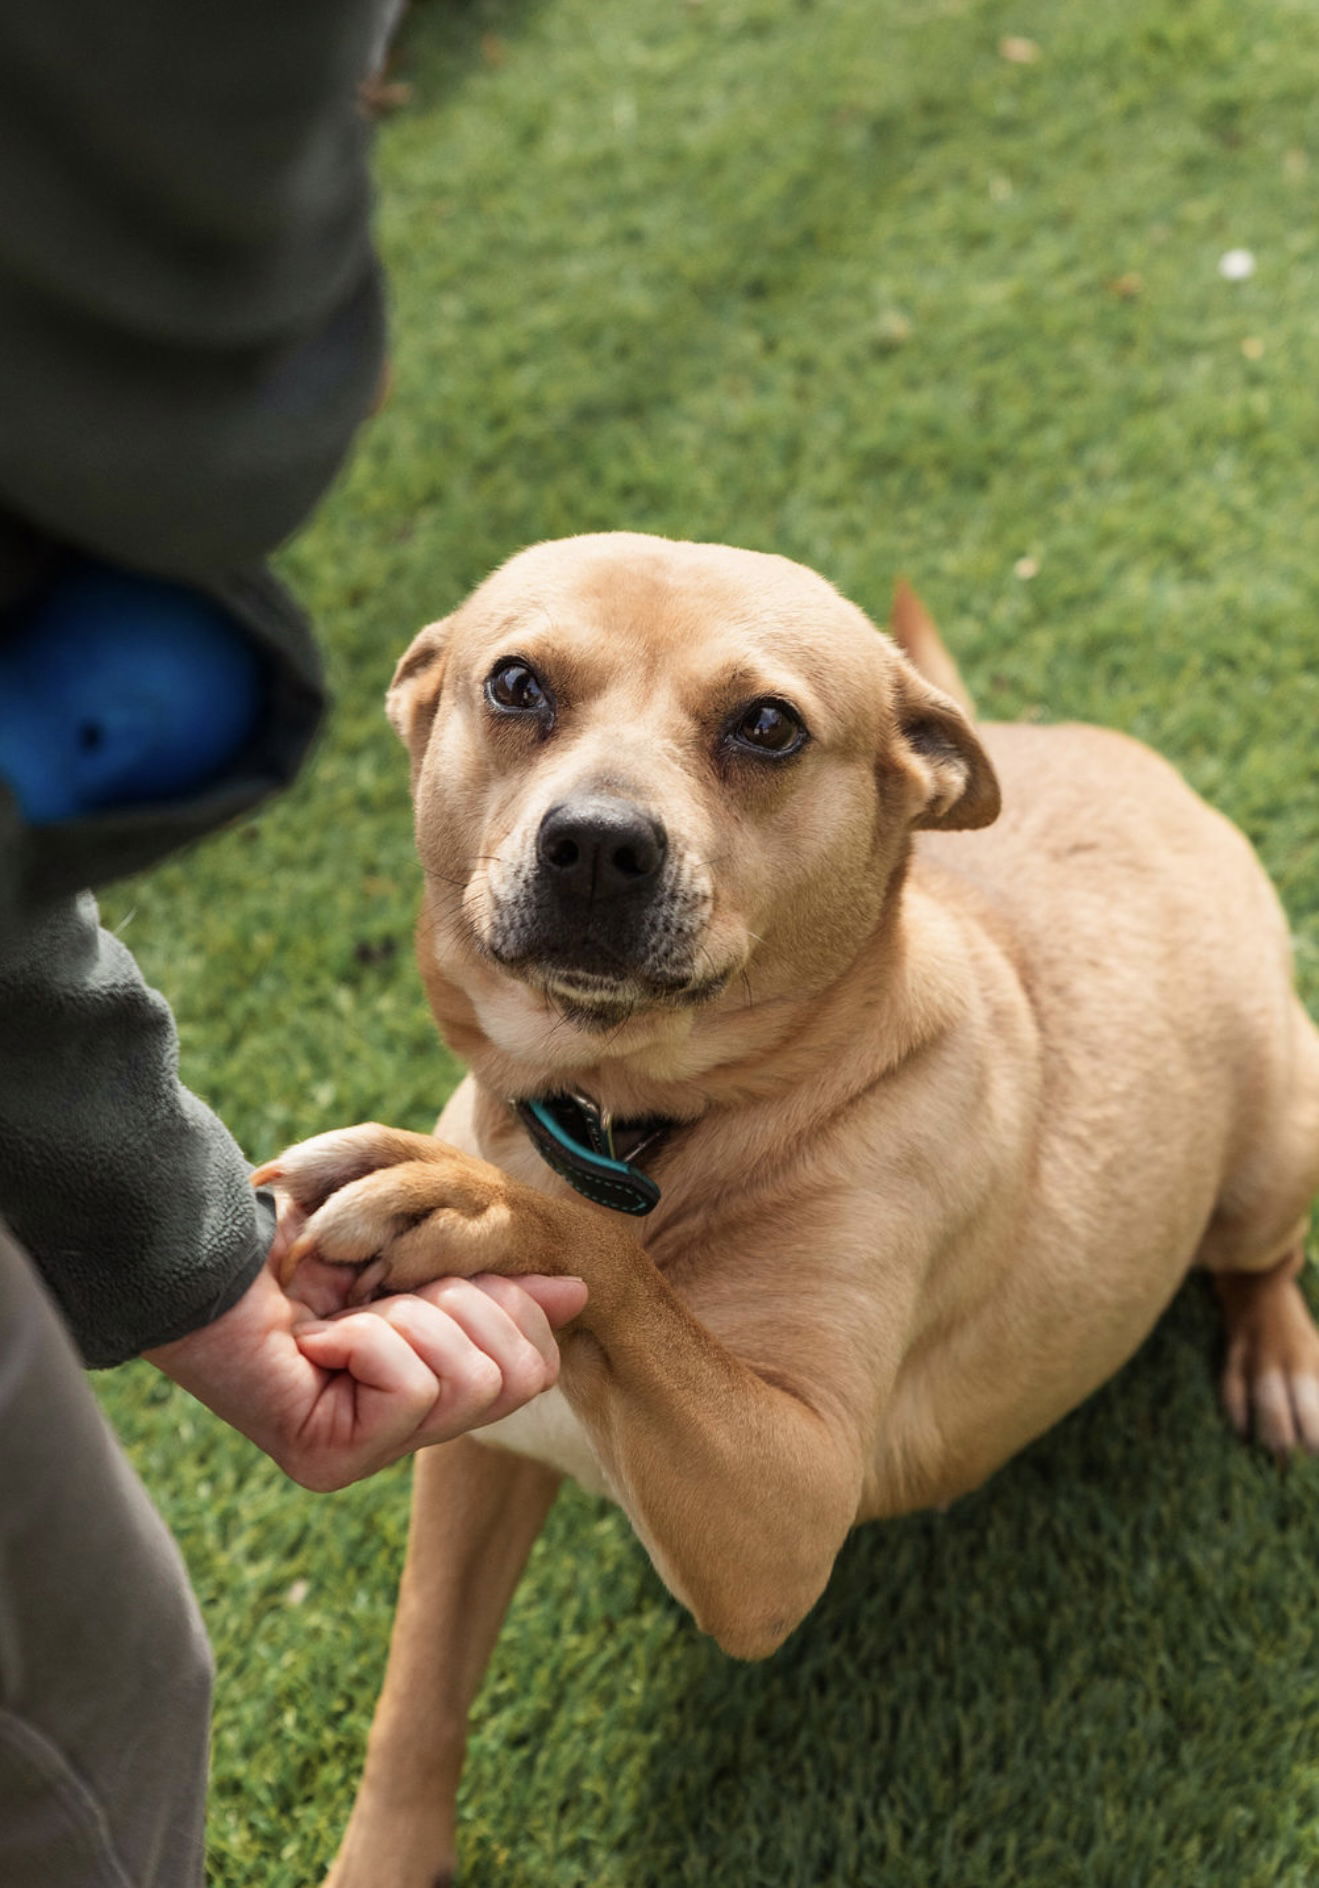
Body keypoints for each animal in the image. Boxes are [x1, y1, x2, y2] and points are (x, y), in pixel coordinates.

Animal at [258, 536, 1319, 1888]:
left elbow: (605, 1264)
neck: (628, 1124)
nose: (595, 843)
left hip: (1268, 1143)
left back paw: (1276, 1355)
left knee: (1262, 1259)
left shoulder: (790, 1505)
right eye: (514, 684)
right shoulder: (478, 1454)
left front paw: (472, 1205)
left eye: (765, 725)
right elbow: (418, 1691)